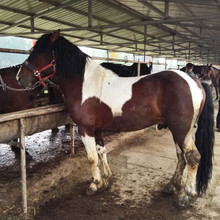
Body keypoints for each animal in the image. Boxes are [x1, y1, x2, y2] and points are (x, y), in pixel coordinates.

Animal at [16, 31, 214, 208]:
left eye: (39, 52)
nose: (20, 77)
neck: (85, 84)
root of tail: (194, 81)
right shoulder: (98, 129)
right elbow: (101, 152)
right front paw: (106, 180)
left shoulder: (85, 128)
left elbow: (91, 157)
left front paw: (94, 185)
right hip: (177, 130)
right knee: (181, 157)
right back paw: (172, 186)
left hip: (182, 130)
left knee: (192, 157)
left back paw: (186, 197)